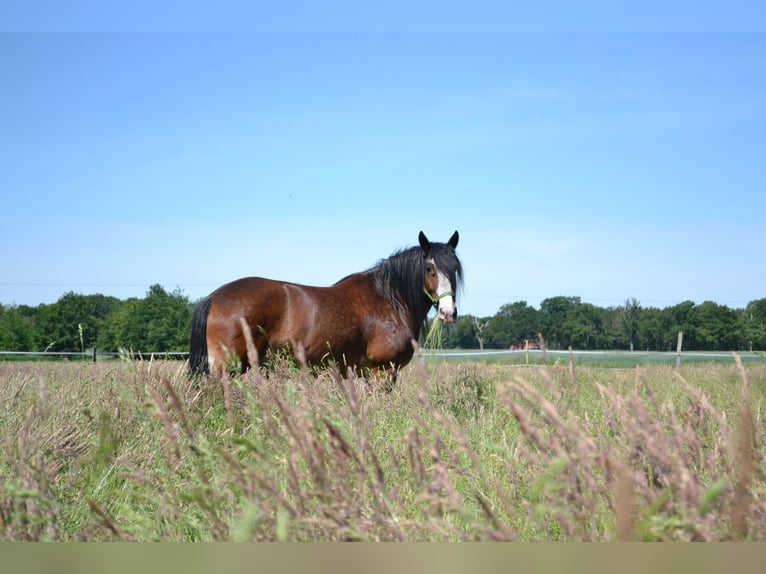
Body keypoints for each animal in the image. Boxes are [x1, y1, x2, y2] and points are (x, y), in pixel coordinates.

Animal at [190, 232, 462, 380]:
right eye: (430, 268)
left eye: (455, 269)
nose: (448, 312)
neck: (389, 299)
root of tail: (214, 296)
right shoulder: (382, 370)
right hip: (226, 367)